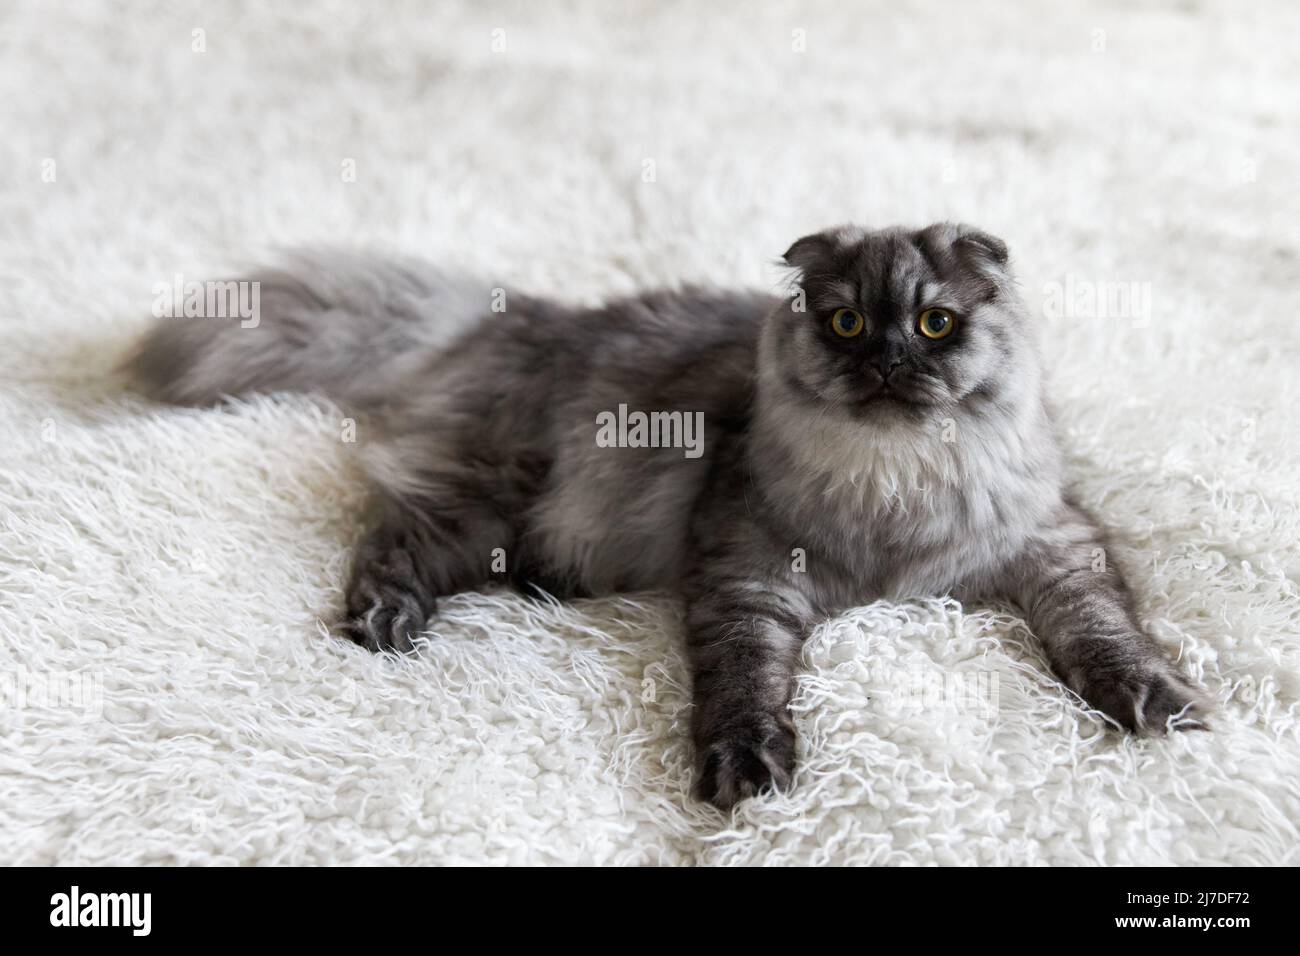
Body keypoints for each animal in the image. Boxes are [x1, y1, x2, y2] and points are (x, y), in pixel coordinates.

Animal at [129, 222, 1206, 806]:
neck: (895, 485)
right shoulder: (749, 574)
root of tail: (516, 316)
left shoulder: (1055, 548)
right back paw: (385, 621)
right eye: (847, 322)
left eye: (936, 322)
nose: (888, 361)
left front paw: (1154, 700)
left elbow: (1104, 631)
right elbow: (742, 683)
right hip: (485, 504)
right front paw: (747, 766)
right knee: (392, 538)